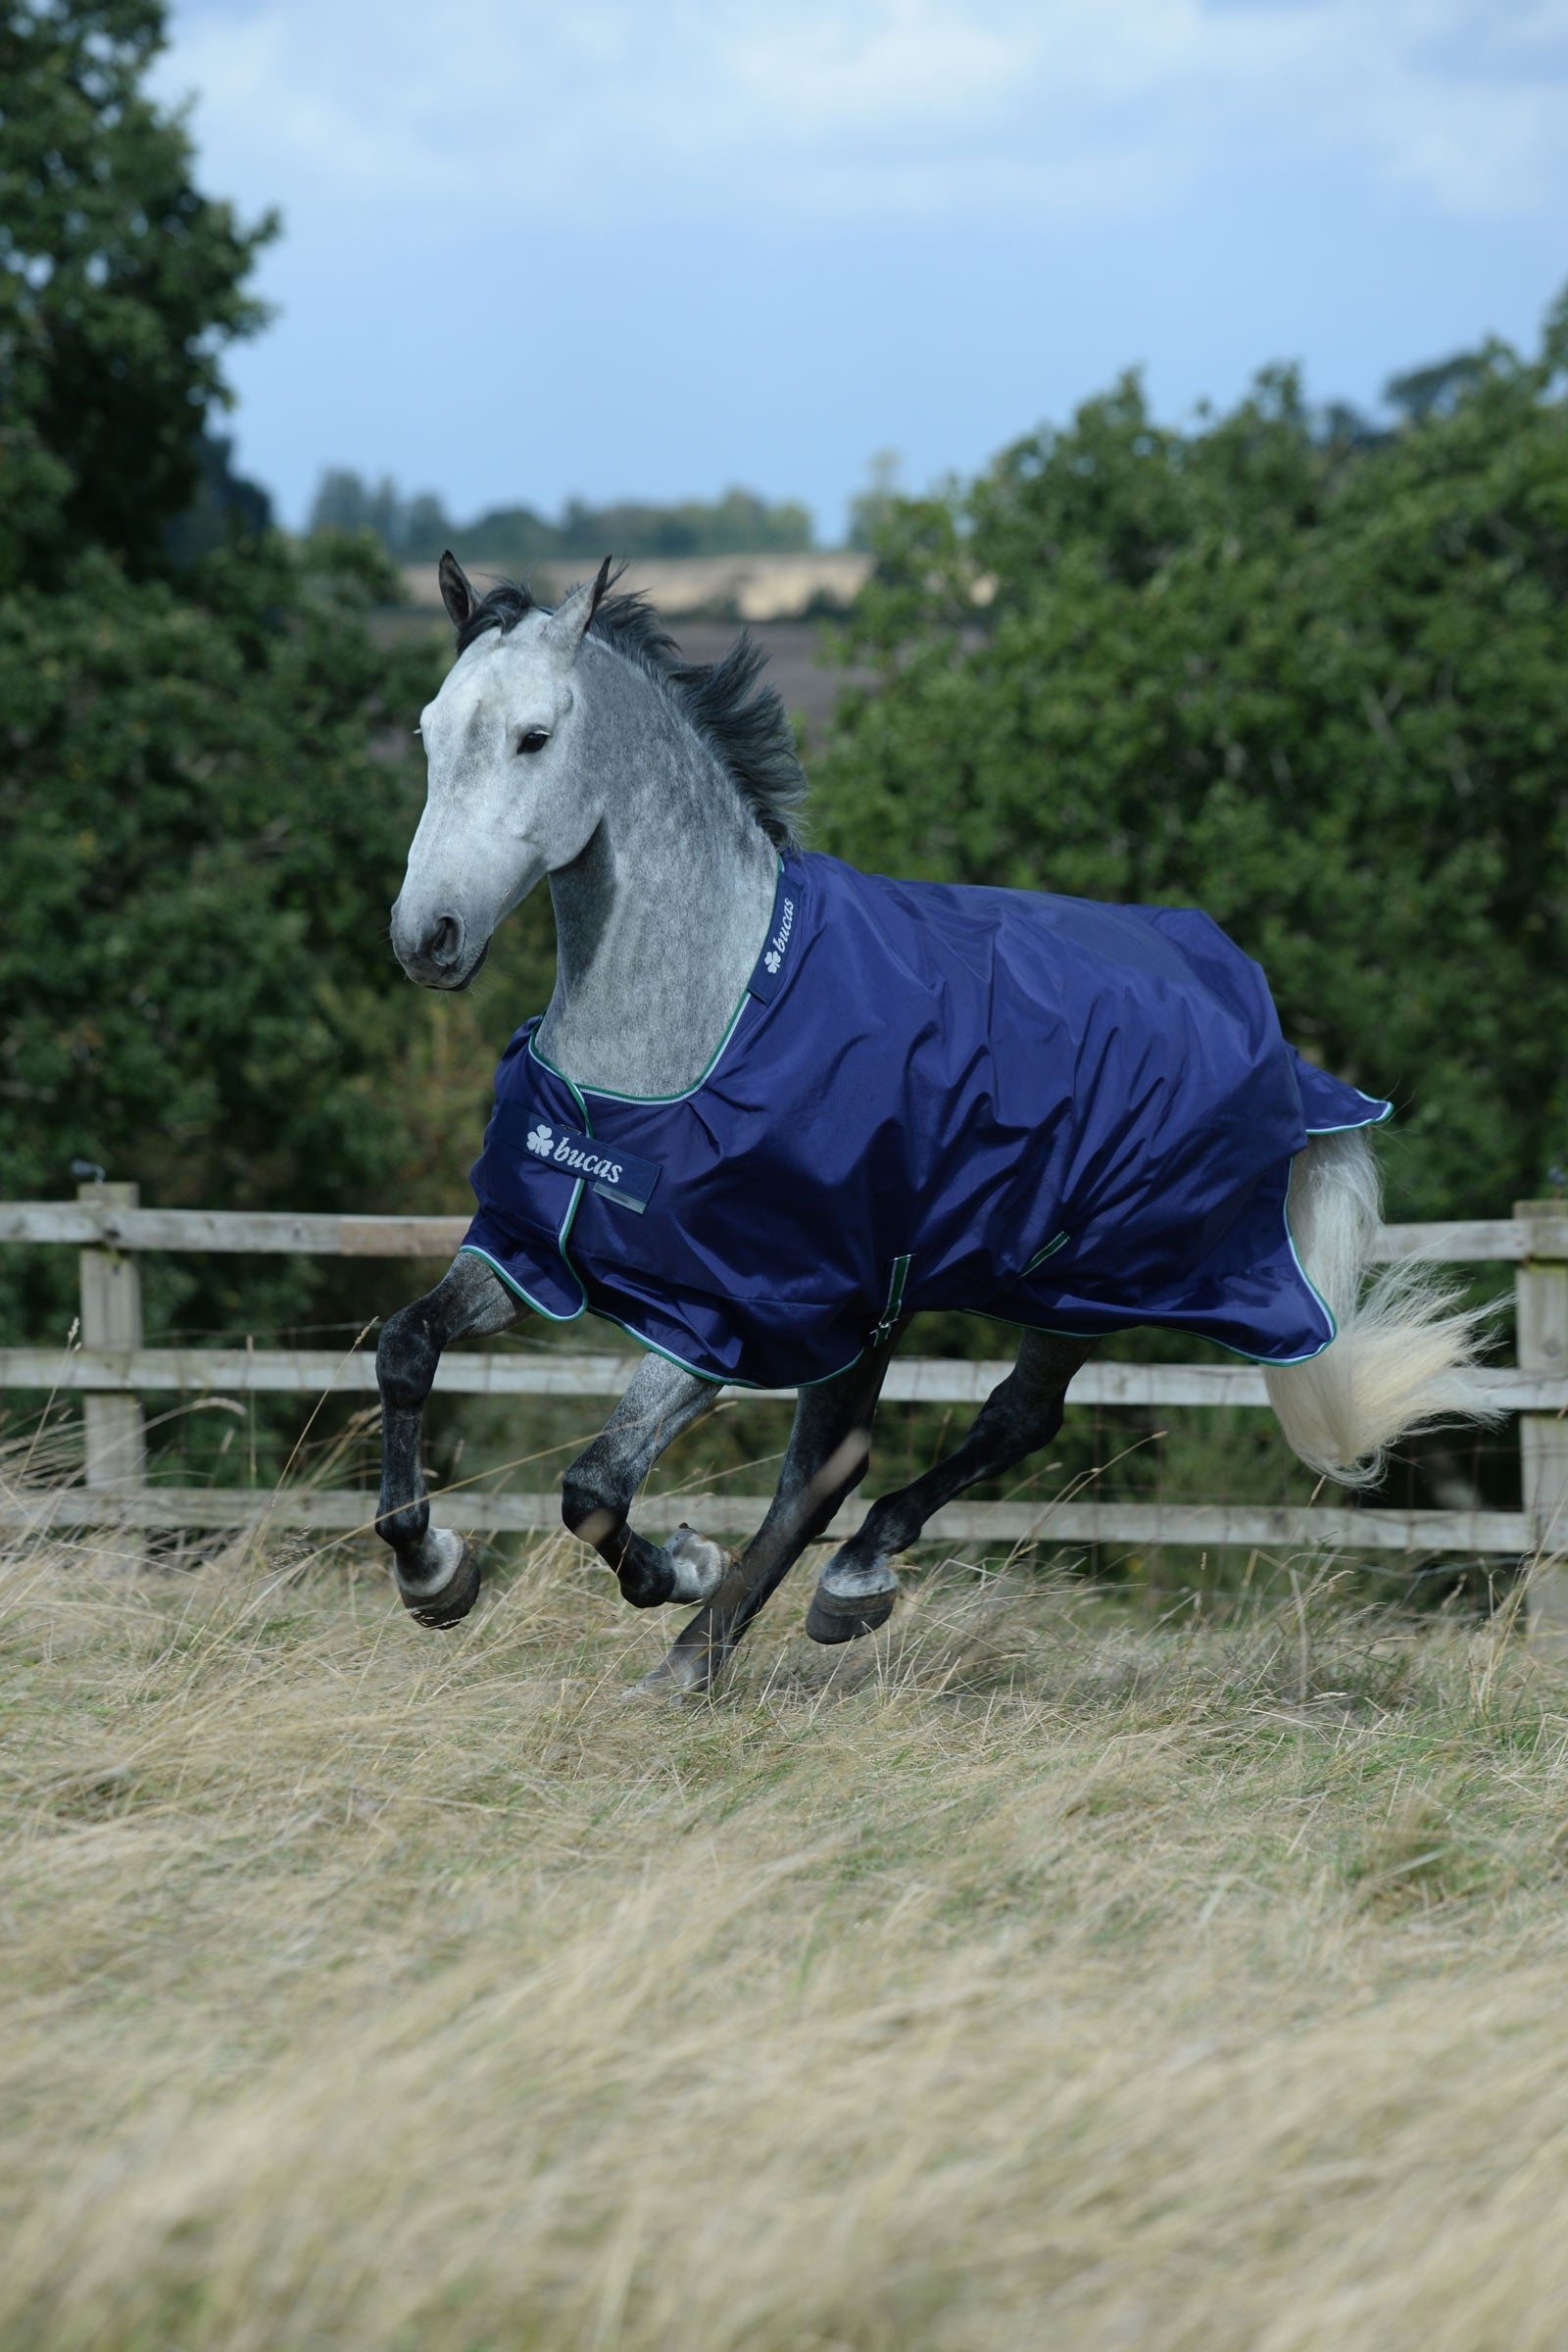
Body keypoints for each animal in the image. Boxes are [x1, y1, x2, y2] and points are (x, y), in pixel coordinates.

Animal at [374, 552, 1492, 1695]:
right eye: (428, 729)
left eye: (533, 737)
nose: (428, 938)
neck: (696, 1025)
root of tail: (1275, 1039)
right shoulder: (534, 1250)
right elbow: (408, 1348)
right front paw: (434, 1573)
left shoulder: (729, 1314)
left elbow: (594, 1485)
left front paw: (680, 1564)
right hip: (898, 1305)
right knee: (835, 1469)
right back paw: (734, 1642)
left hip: (1077, 1283)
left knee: (988, 1425)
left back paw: (803, 1603)